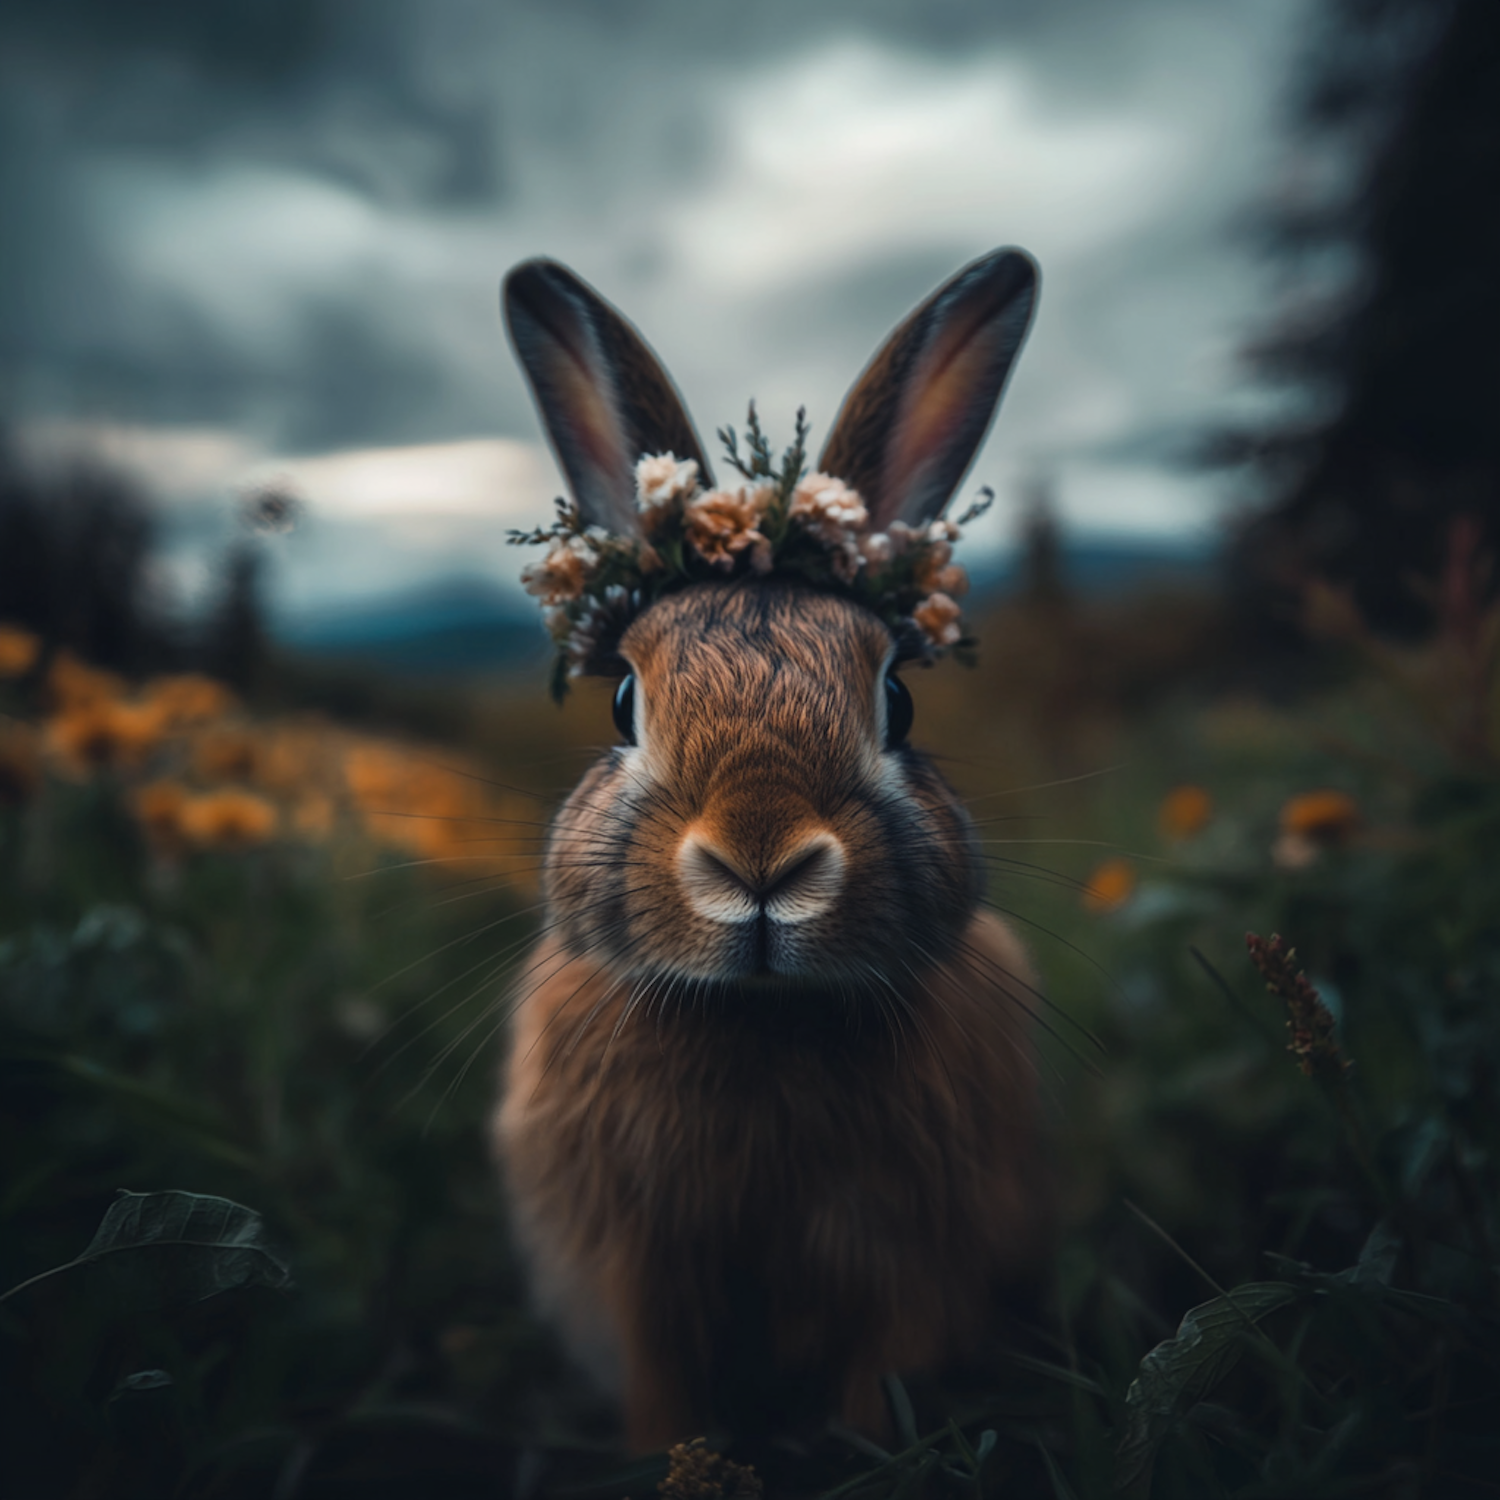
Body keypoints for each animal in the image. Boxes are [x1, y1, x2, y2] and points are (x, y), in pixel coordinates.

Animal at [492, 249, 1044, 1452]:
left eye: (898, 702)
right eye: (621, 701)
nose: (759, 860)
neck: (759, 1023)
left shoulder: (908, 1260)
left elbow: (878, 1382)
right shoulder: (635, 1273)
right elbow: (665, 1394)